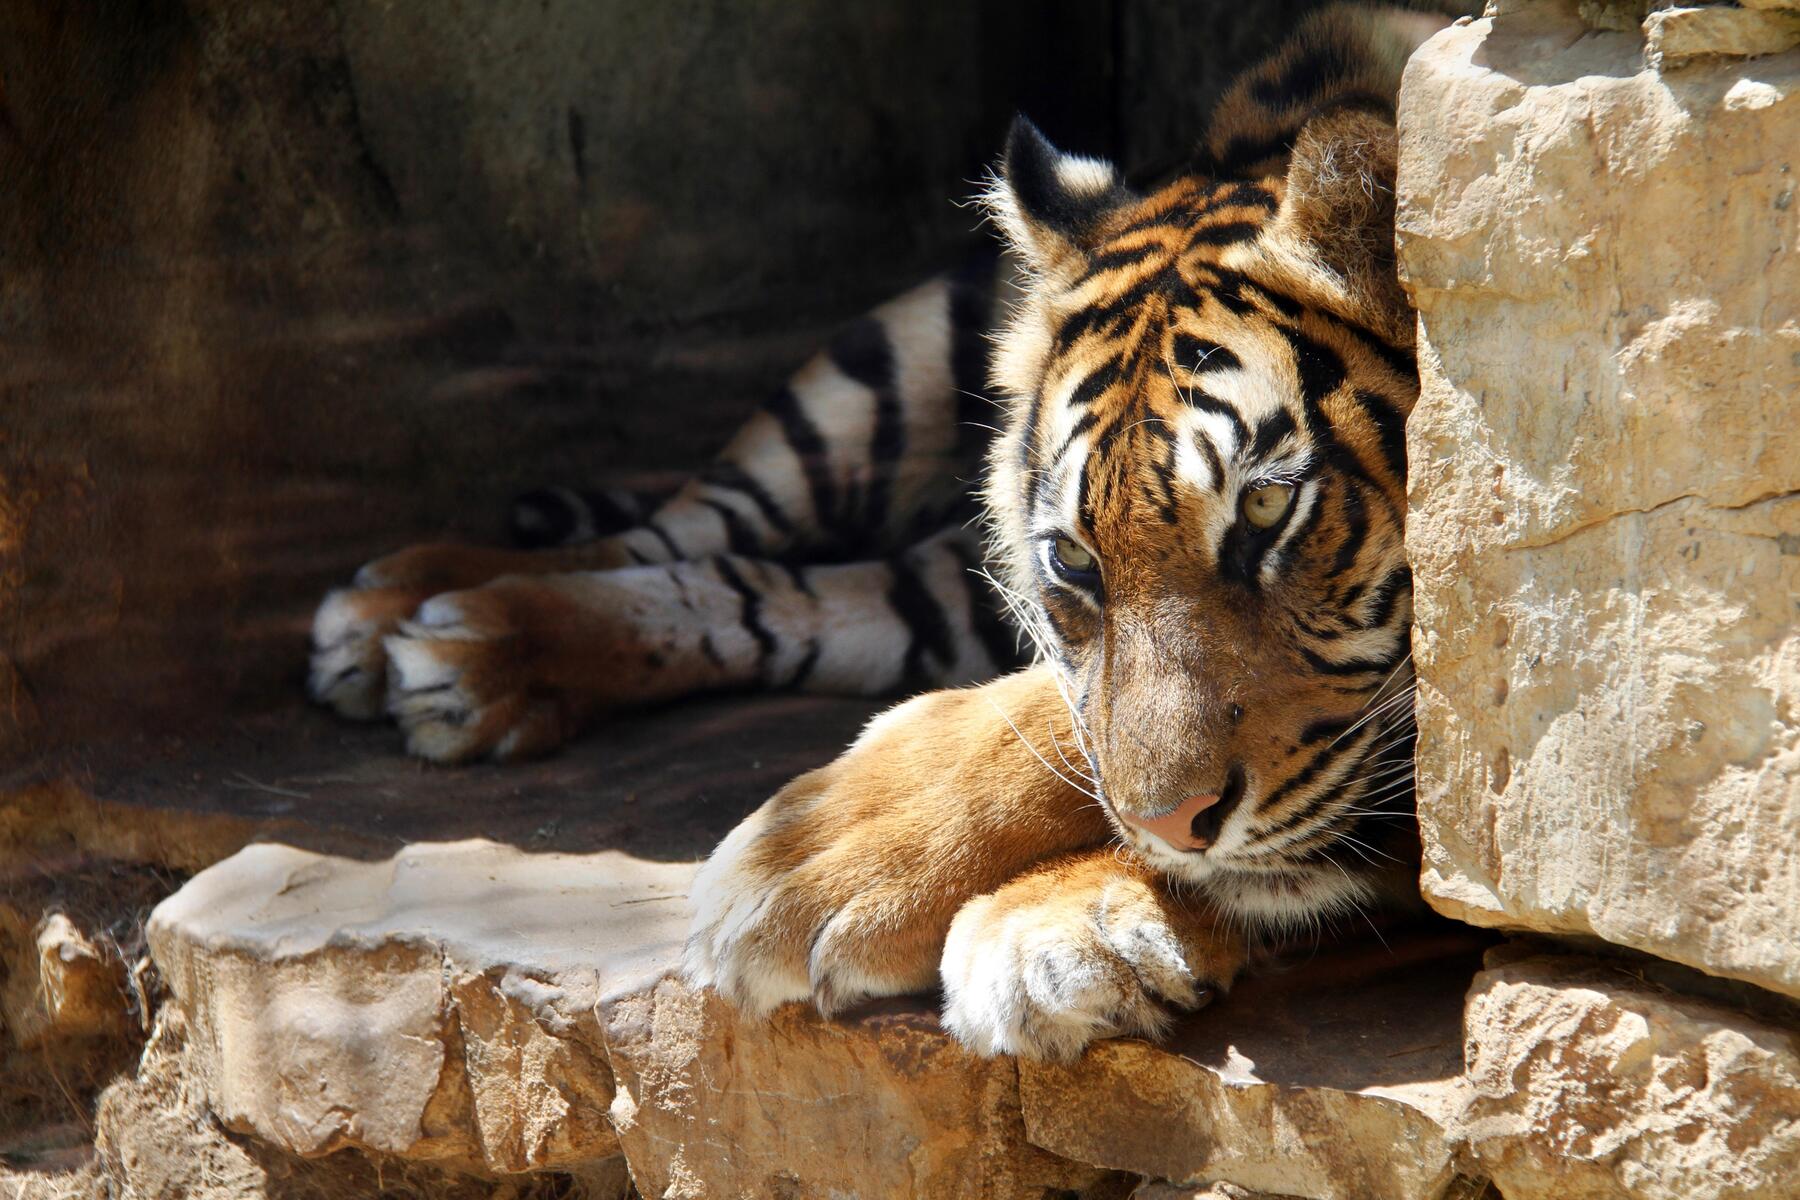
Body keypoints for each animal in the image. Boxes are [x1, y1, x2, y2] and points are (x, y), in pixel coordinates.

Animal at [309, 3, 1448, 1060]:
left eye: (1265, 509)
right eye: (1074, 561)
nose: (1172, 830)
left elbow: (1059, 720)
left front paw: (1043, 918)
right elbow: (1050, 716)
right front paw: (824, 859)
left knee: (781, 594)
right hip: (879, 374)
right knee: (702, 536)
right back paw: (422, 618)